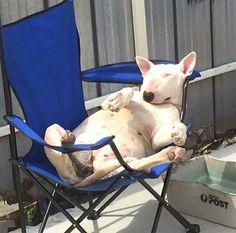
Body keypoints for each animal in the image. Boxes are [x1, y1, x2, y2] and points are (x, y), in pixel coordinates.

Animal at [44, 51, 197, 187]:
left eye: (168, 75)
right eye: (148, 76)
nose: (147, 94)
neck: (161, 105)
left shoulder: (157, 138)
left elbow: (180, 126)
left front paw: (179, 134)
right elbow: (128, 90)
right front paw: (116, 100)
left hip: (118, 165)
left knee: (134, 166)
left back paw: (171, 153)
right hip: (52, 129)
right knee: (67, 162)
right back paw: (68, 142)